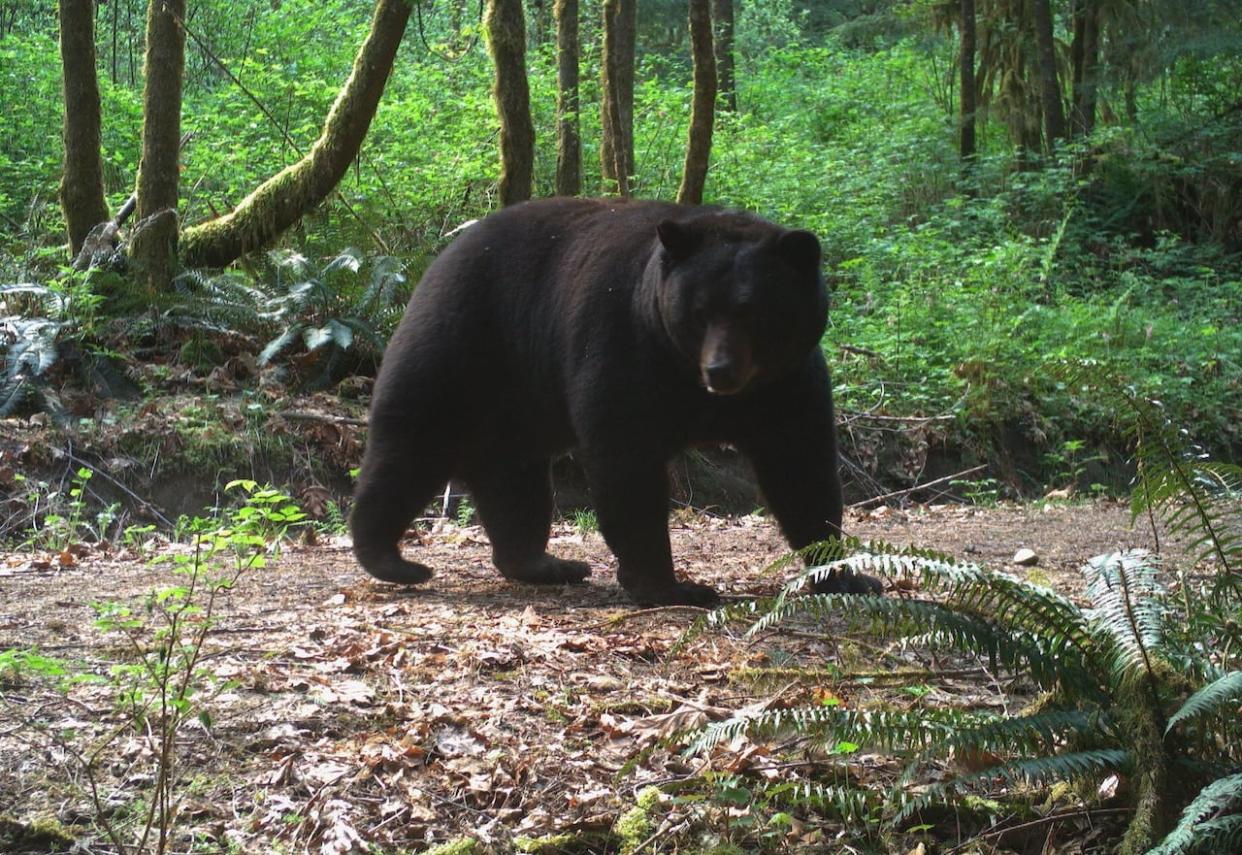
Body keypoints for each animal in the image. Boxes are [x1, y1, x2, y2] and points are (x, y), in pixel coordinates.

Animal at [347, 197, 884, 603]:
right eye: (700, 310)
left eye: (754, 312)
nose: (720, 371)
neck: (687, 374)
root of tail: (442, 255)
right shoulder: (624, 344)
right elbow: (626, 462)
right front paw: (672, 586)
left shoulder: (786, 382)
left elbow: (801, 468)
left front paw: (846, 575)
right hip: (460, 347)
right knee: (409, 447)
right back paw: (393, 560)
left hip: (515, 401)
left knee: (514, 480)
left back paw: (546, 562)